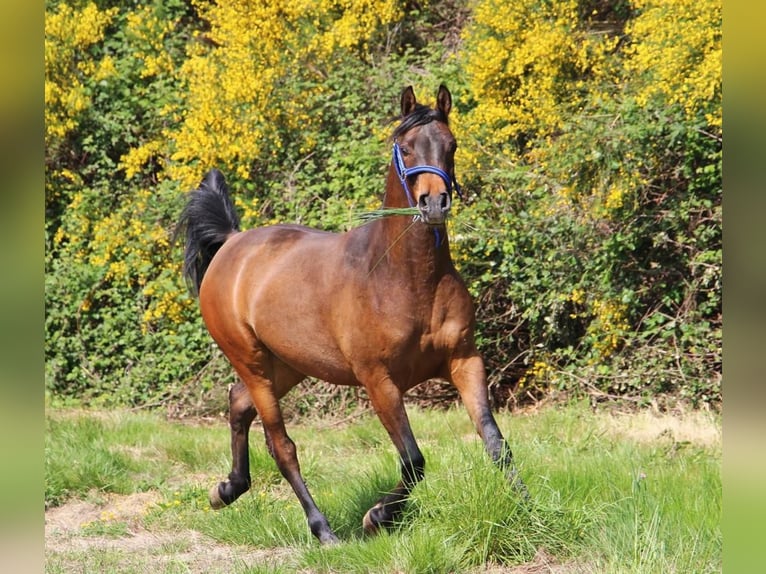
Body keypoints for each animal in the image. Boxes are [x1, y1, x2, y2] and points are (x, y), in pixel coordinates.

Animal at [180, 84, 528, 544]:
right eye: (405, 147)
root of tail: (234, 243)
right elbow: (414, 459)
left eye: (451, 145)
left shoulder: (464, 361)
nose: (434, 203)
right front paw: (377, 516)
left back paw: (226, 490)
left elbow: (496, 442)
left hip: (289, 364)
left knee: (238, 404)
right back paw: (323, 530)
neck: (407, 278)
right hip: (251, 360)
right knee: (281, 444)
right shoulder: (378, 380)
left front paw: (530, 507)